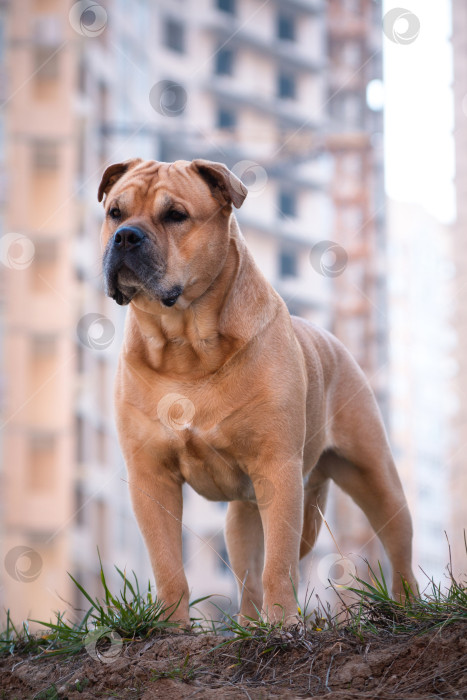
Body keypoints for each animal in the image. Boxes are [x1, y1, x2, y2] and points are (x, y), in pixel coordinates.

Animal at [97, 157, 414, 624]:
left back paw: (407, 606)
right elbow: (167, 562)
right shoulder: (151, 476)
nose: (125, 236)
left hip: (375, 476)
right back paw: (249, 625)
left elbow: (278, 562)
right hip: (242, 514)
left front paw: (283, 622)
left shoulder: (277, 468)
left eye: (175, 215)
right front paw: (171, 626)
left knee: (397, 545)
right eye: (114, 213)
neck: (185, 344)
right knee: (247, 574)